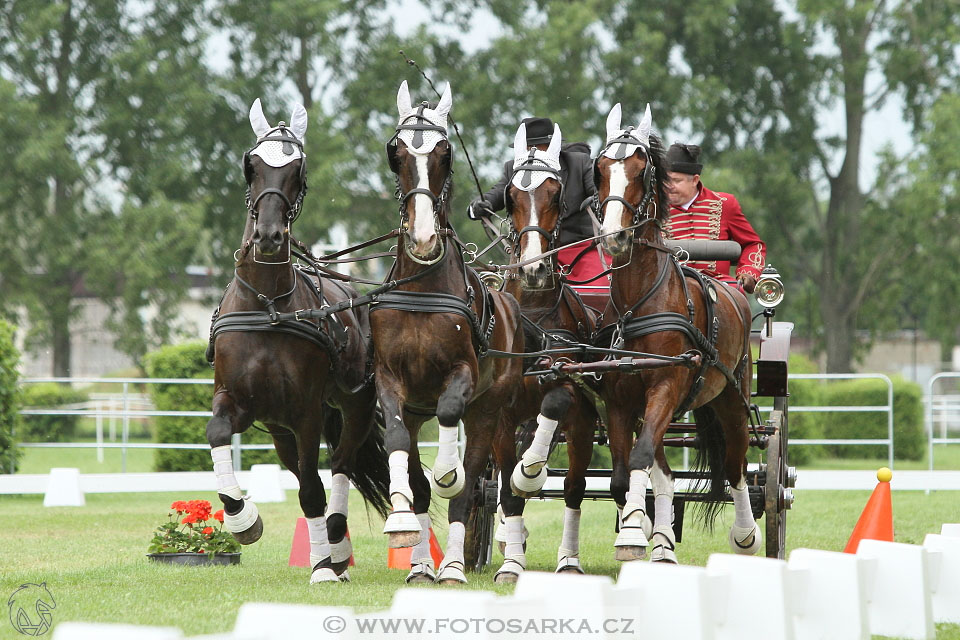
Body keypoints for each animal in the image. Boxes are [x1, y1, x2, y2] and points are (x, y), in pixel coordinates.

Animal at [207, 97, 390, 584]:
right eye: (251, 166)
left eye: (298, 170)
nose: (270, 237)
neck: (267, 304)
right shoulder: (236, 399)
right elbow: (217, 433)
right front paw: (242, 518)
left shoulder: (307, 411)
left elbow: (312, 488)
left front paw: (324, 566)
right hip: (278, 427)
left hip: (352, 405)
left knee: (340, 466)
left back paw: (337, 548)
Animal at [374, 82, 524, 588]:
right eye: (396, 153)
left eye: (444, 152)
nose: (422, 238)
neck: (423, 289)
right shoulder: (390, 382)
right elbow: (398, 446)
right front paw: (402, 524)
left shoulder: (462, 376)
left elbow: (450, 423)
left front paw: (447, 472)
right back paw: (423, 565)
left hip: (494, 411)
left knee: (482, 481)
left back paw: (462, 565)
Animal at [592, 102, 756, 564]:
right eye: (600, 169)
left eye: (640, 170)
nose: (613, 238)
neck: (638, 301)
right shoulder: (620, 399)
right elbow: (623, 473)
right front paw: (640, 527)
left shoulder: (666, 384)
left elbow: (640, 458)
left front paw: (633, 532)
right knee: (663, 471)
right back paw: (663, 544)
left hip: (731, 400)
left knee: (736, 466)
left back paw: (745, 534)